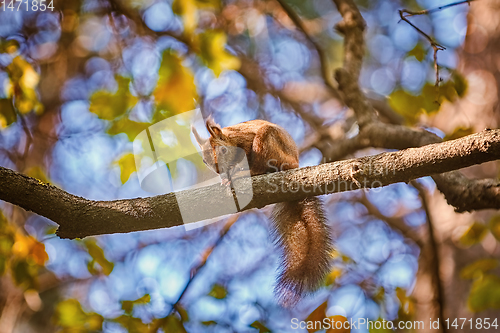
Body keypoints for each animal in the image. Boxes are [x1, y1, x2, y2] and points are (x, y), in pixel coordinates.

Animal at [192, 117, 332, 306]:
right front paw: (225, 178)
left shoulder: (245, 140)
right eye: (204, 161)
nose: (219, 170)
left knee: (260, 167)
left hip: (268, 142)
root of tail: (295, 163)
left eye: (223, 150)